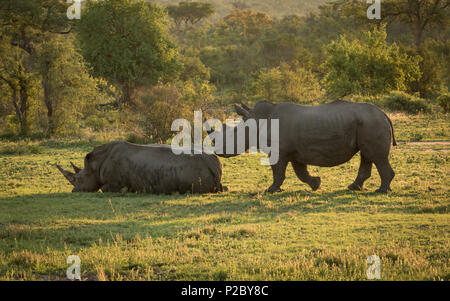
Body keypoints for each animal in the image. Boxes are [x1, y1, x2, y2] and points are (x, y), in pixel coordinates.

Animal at [56, 141, 225, 193]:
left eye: (79, 180)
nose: (74, 191)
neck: (95, 165)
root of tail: (214, 165)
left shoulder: (114, 184)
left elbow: (104, 188)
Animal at [209, 99, 396, 193]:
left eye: (232, 135)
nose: (217, 151)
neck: (257, 120)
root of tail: (384, 114)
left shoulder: (279, 151)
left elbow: (278, 172)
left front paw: (271, 190)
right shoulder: (294, 152)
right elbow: (301, 172)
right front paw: (316, 184)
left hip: (372, 123)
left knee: (376, 156)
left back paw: (381, 191)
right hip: (367, 124)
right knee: (367, 155)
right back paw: (354, 188)